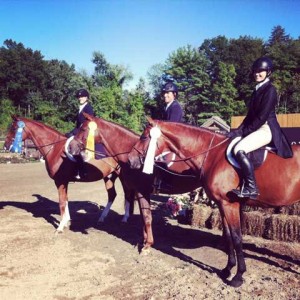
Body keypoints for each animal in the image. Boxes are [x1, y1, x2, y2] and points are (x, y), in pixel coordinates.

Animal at [3, 116, 134, 231]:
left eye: (14, 128)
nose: (5, 146)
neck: (54, 148)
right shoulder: (64, 182)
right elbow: (65, 200)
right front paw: (67, 222)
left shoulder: (60, 181)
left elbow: (61, 202)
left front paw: (60, 227)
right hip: (109, 177)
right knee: (112, 195)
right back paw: (102, 218)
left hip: (122, 176)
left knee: (127, 194)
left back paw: (125, 218)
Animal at [69, 113, 200, 252]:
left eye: (83, 129)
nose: (70, 146)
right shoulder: (138, 191)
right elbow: (143, 216)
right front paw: (143, 241)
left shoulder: (143, 191)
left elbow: (147, 217)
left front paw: (147, 245)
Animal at [127, 116, 300, 286]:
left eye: (144, 137)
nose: (130, 160)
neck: (214, 155)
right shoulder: (222, 204)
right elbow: (229, 236)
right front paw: (227, 270)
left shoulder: (230, 205)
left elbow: (237, 237)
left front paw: (238, 277)